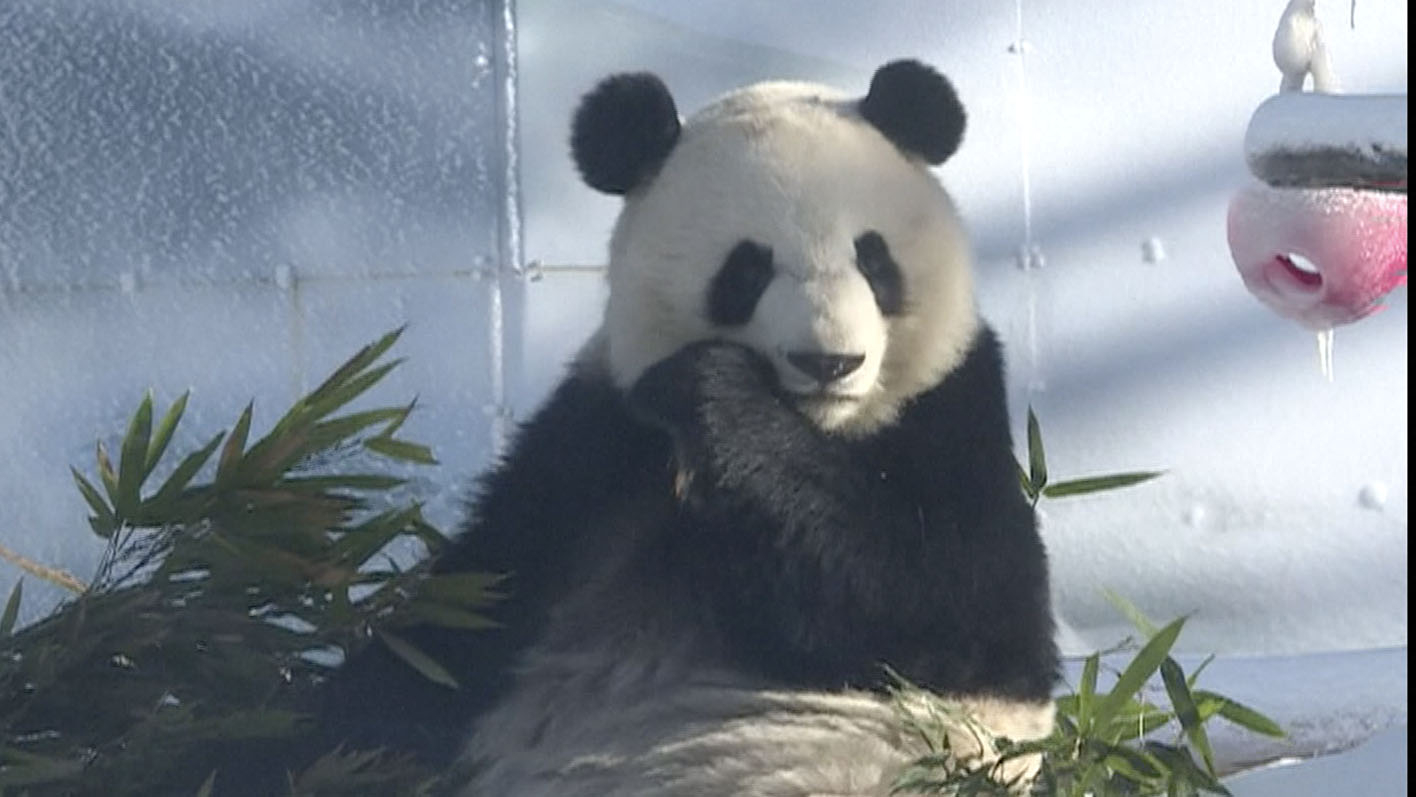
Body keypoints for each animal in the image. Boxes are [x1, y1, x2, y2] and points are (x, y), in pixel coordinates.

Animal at [318, 59, 1053, 792]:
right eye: (748, 268)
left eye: (873, 260)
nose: (829, 362)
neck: (820, 430)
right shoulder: (595, 445)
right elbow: (460, 622)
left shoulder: (952, 410)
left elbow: (948, 606)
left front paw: (716, 391)